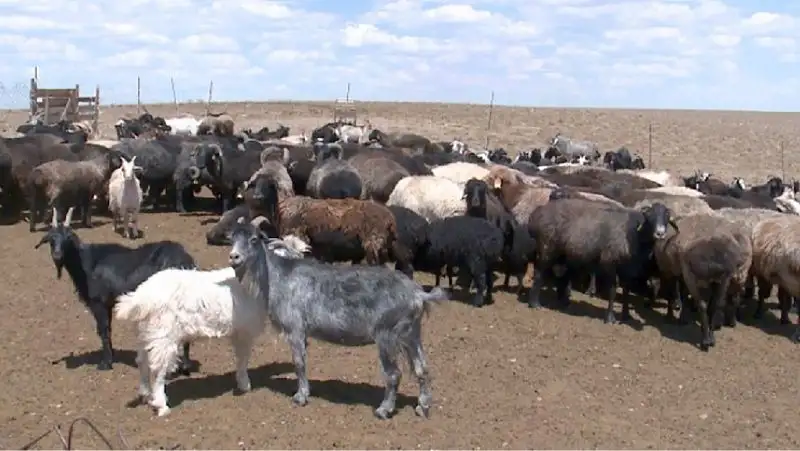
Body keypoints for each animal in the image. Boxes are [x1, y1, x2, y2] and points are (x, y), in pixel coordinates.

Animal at [115, 235, 310, 418]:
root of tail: (141, 296)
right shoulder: (244, 331)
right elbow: (243, 358)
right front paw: (245, 385)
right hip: (164, 336)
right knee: (157, 369)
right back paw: (161, 405)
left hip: (146, 333)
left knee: (142, 361)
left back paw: (145, 394)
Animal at [228, 219, 446, 420]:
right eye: (232, 239)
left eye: (254, 239)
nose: (234, 257)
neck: (280, 277)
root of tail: (417, 295)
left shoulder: (295, 328)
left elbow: (299, 362)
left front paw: (300, 397)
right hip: (411, 333)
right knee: (422, 368)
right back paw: (422, 407)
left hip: (388, 335)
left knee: (393, 374)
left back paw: (384, 410)